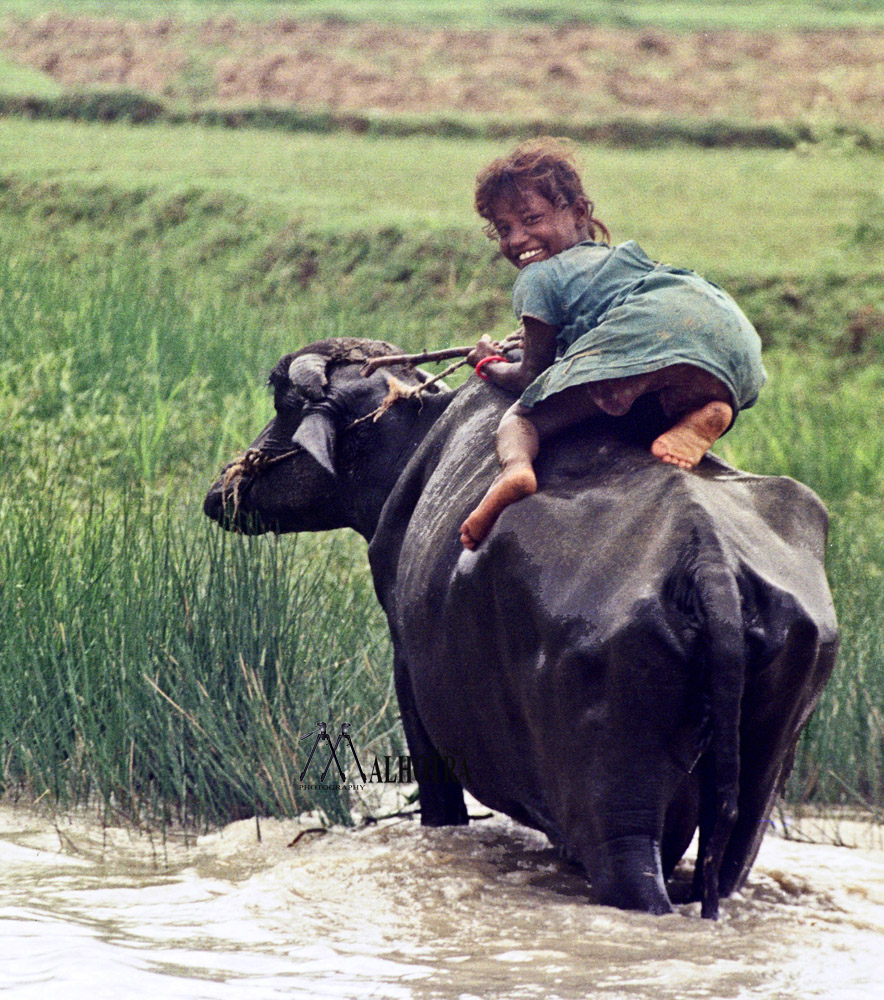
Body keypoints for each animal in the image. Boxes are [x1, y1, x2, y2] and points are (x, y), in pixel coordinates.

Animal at [204, 340, 840, 916]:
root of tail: (708, 560)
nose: (218, 493)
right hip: (757, 786)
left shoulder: (410, 680)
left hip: (614, 812)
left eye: (283, 403)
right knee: (729, 860)